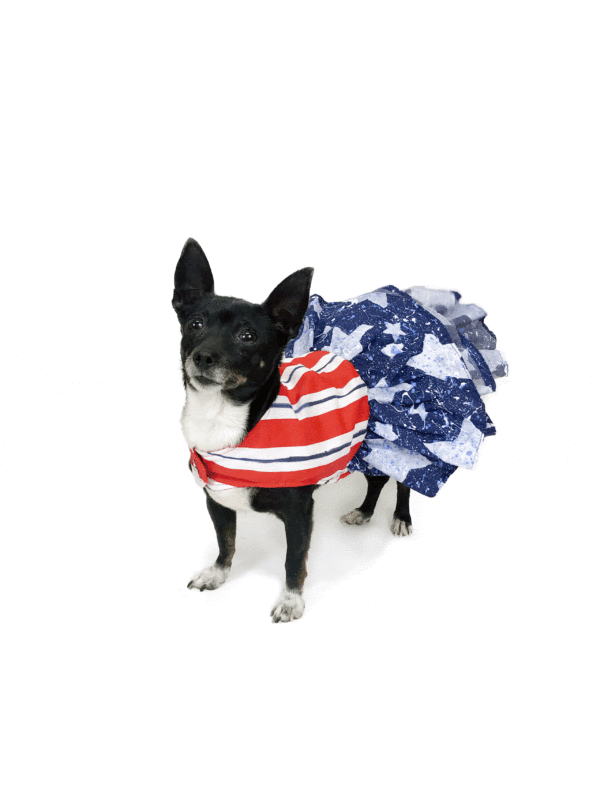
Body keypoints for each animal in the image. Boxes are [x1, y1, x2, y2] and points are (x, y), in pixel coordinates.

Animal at [171, 238, 410, 624]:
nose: (204, 356)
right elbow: (226, 542)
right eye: (195, 324)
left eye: (248, 336)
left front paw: (291, 600)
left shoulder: (299, 514)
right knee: (376, 481)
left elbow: (293, 560)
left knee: (403, 482)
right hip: (363, 450)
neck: (225, 417)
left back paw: (401, 517)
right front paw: (217, 574)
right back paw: (364, 511)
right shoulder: (217, 501)